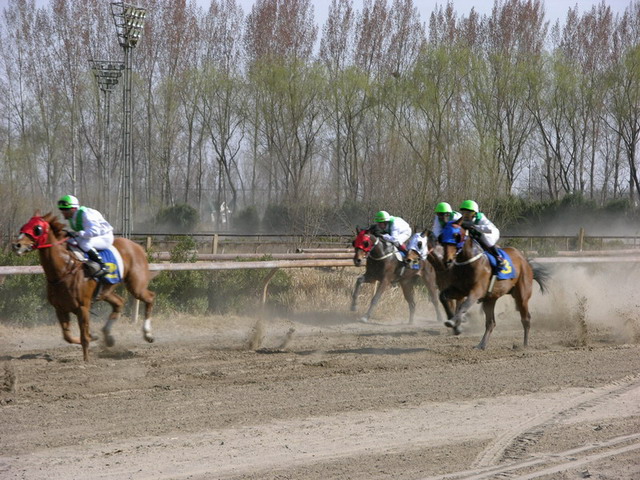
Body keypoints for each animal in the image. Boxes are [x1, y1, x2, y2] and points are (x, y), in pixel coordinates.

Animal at [12, 212, 155, 362]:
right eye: (23, 226)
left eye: (37, 229)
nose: (16, 245)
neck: (64, 270)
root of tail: (136, 245)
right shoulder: (60, 308)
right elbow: (68, 336)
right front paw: (94, 336)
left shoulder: (83, 307)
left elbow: (84, 336)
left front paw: (86, 359)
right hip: (106, 291)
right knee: (119, 303)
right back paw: (108, 337)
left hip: (136, 285)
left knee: (150, 298)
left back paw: (148, 334)